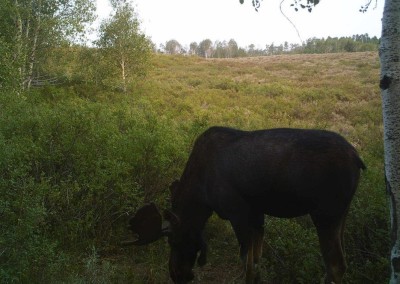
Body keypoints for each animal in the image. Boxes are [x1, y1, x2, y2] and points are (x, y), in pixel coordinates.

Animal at [125, 127, 366, 284]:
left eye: (173, 241)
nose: (176, 275)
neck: (202, 196)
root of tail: (357, 158)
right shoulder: (257, 213)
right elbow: (256, 261)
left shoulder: (237, 212)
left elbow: (246, 264)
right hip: (342, 213)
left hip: (325, 213)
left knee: (335, 265)